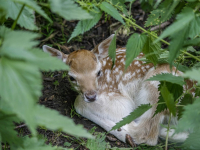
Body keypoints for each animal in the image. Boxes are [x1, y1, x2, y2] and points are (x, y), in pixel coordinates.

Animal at [42, 34, 191, 146]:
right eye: (71, 77)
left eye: (98, 72)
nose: (91, 96)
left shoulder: (118, 98)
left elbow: (78, 103)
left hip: (159, 88)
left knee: (146, 134)